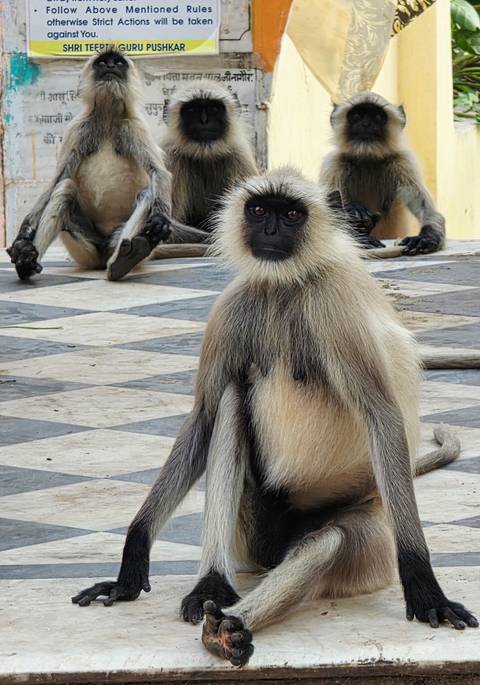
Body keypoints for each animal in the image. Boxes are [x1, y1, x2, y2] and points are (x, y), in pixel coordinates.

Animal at [7, 49, 206, 282]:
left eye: (118, 63)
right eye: (103, 63)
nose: (110, 66)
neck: (108, 116)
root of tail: (103, 256)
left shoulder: (134, 126)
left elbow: (159, 173)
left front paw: (160, 221)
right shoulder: (79, 128)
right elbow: (56, 181)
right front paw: (22, 237)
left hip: (115, 241)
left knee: (148, 192)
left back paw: (126, 258)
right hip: (85, 251)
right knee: (65, 189)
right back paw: (27, 261)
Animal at [72, 168, 477, 666]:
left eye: (292, 214)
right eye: (260, 209)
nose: (269, 230)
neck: (287, 285)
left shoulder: (335, 309)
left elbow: (381, 417)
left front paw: (423, 584)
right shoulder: (232, 308)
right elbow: (203, 418)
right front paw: (132, 560)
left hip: (368, 533)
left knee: (330, 541)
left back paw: (228, 630)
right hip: (249, 532)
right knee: (229, 399)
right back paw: (212, 591)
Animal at [152, 80, 258, 259]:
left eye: (214, 108)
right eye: (192, 110)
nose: (204, 120)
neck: (204, 155)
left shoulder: (240, 157)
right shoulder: (169, 157)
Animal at [320, 91, 446, 255]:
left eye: (378, 117)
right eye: (357, 115)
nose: (366, 124)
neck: (367, 159)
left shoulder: (404, 161)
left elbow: (426, 208)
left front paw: (427, 237)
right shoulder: (333, 164)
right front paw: (356, 215)